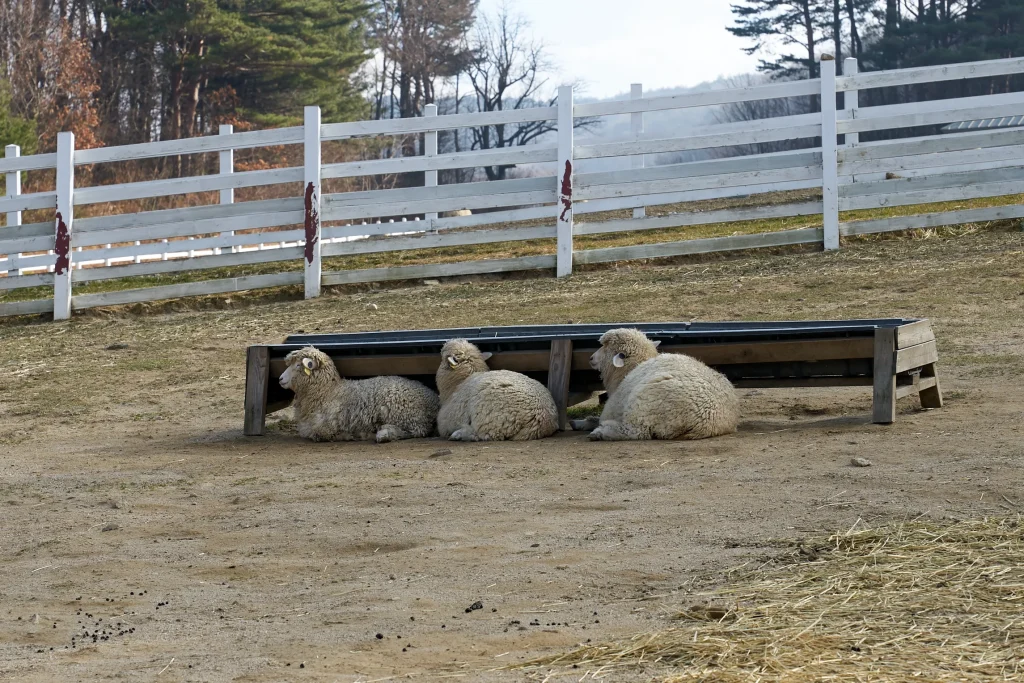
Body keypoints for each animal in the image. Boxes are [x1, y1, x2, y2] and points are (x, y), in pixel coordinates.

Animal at [280, 348, 440, 444]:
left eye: (298, 366)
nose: (280, 379)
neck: (327, 391)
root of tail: (434, 400)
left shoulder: (325, 427)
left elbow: (319, 435)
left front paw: (347, 436)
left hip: (404, 413)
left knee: (418, 431)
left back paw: (384, 434)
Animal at [589, 327, 741, 444]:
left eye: (605, 346)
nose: (590, 358)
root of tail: (704, 424)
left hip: (645, 403)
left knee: (635, 431)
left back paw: (601, 432)